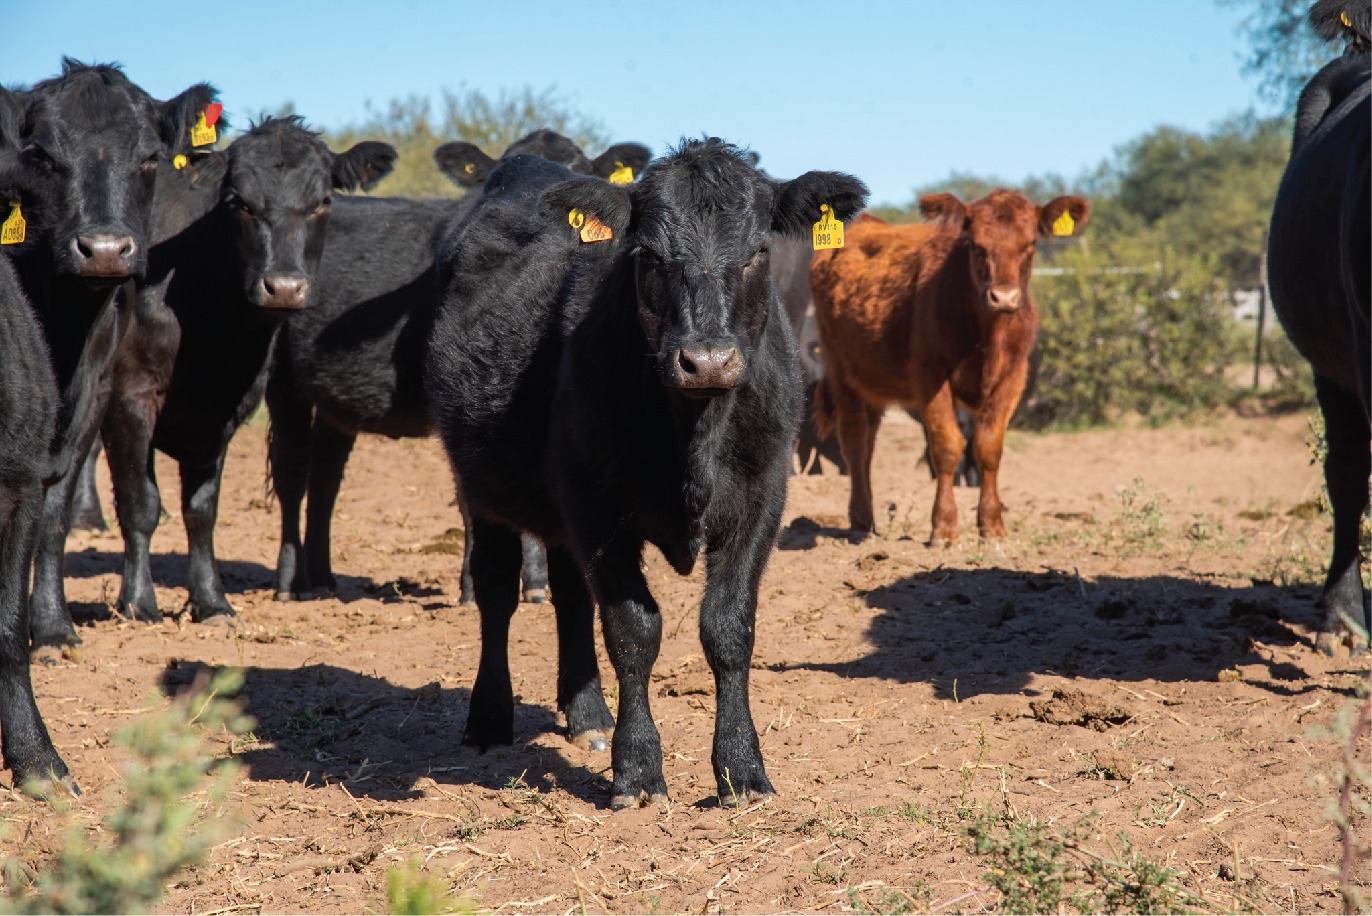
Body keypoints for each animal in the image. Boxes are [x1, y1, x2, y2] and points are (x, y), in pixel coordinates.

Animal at [0, 58, 216, 649]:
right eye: (43, 156)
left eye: (149, 158)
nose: (103, 251)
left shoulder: (95, 395)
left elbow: (54, 513)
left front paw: (53, 626)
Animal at [93, 117, 395, 630]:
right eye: (239, 203)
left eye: (323, 201)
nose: (285, 287)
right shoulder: (130, 399)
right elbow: (140, 504)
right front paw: (138, 602)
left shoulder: (221, 412)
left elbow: (201, 509)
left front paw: (211, 601)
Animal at [268, 128, 653, 603]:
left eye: (580, 171)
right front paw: (482, 584)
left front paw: (535, 582)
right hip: (279, 374)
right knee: (291, 471)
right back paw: (291, 583)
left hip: (334, 403)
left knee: (325, 476)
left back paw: (322, 579)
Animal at [425, 139, 867, 806]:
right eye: (650, 256)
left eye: (758, 251)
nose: (706, 361)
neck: (694, 435)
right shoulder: (596, 508)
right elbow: (633, 630)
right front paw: (636, 768)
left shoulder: (762, 497)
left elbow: (728, 627)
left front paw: (741, 768)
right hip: (481, 485)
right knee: (497, 592)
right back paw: (489, 718)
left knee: (569, 596)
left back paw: (587, 716)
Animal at [806, 189, 1086, 540]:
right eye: (974, 244)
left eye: (1031, 243)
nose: (1004, 297)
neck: (987, 332)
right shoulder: (931, 376)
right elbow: (946, 446)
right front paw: (943, 526)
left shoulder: (1013, 377)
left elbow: (988, 447)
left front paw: (992, 524)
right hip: (841, 371)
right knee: (854, 440)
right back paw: (860, 520)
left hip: (874, 382)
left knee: (868, 442)